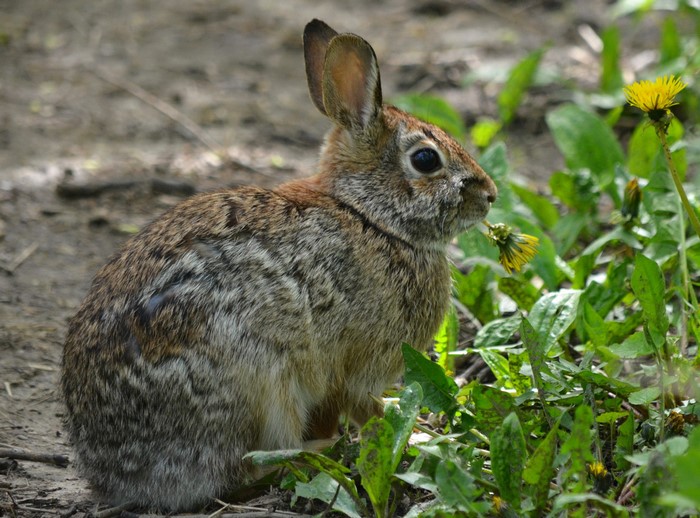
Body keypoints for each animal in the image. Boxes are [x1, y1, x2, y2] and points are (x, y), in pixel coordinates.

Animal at [61, 19, 497, 512]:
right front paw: (411, 432)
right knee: (252, 466)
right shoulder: (359, 368)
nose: (490, 195)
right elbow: (366, 409)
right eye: (426, 159)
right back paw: (318, 452)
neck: (371, 218)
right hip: (257, 380)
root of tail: (117, 473)